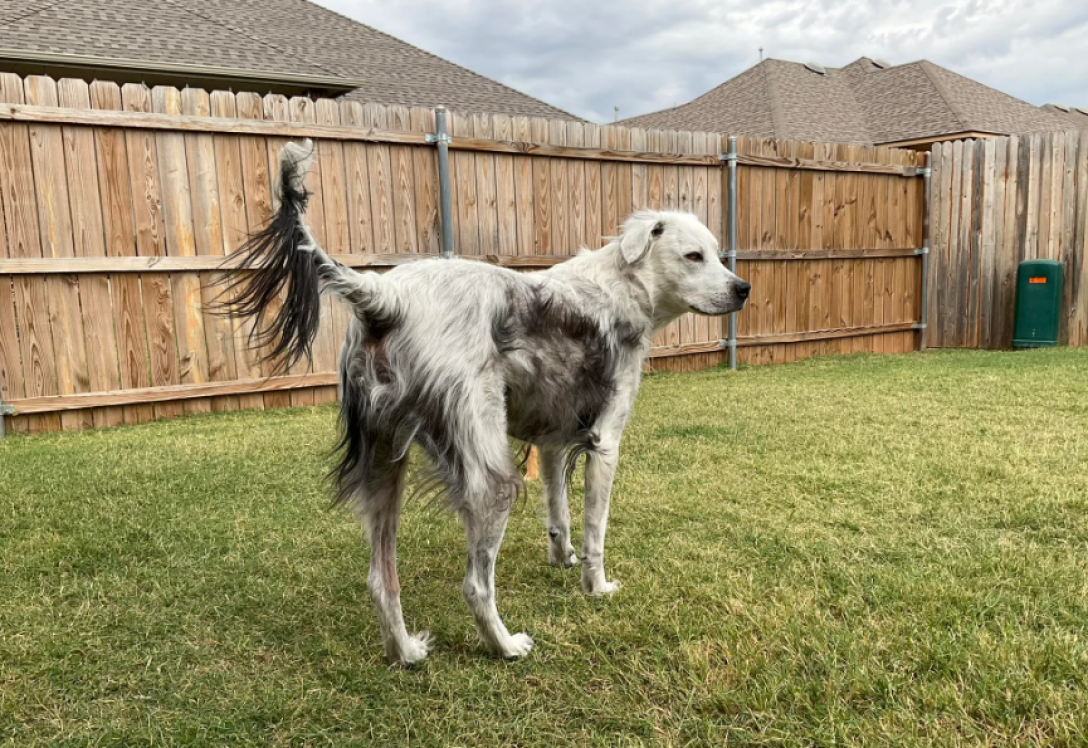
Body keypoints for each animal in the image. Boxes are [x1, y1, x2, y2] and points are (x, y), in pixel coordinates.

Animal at [220, 141, 748, 665]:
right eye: (694, 256)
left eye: (717, 255)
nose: (742, 289)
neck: (621, 285)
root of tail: (388, 295)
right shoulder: (605, 444)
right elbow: (595, 531)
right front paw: (595, 586)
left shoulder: (551, 444)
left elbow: (558, 516)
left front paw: (562, 559)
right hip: (492, 481)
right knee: (475, 585)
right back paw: (505, 645)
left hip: (384, 468)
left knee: (380, 580)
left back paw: (405, 652)